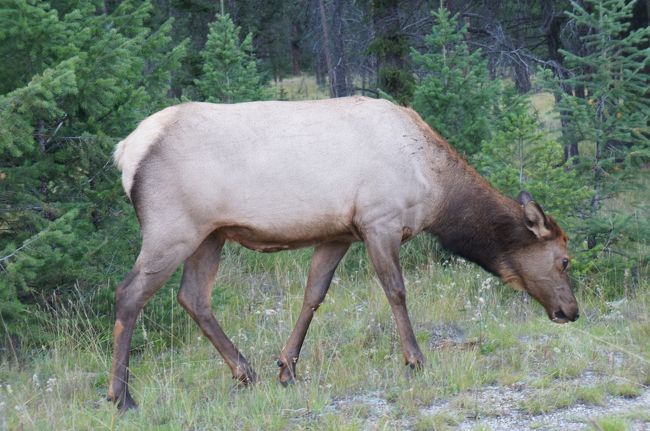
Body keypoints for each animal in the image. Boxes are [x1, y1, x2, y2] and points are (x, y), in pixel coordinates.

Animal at [107, 96, 576, 410]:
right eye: (564, 260)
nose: (571, 311)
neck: (436, 188)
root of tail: (125, 151)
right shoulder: (379, 220)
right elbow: (396, 291)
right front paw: (415, 359)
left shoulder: (338, 234)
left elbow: (313, 295)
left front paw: (287, 368)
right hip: (172, 228)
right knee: (129, 294)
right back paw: (121, 395)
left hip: (210, 234)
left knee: (193, 297)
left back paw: (246, 372)